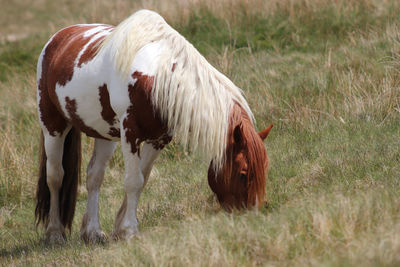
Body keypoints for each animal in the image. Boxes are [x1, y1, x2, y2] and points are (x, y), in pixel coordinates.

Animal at [34, 9, 274, 245]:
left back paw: (92, 232)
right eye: (243, 172)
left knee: (94, 176)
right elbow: (132, 181)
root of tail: (57, 39)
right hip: (52, 125)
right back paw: (54, 233)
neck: (156, 77)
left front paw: (120, 227)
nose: (252, 216)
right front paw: (130, 230)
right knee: (55, 176)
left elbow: (142, 178)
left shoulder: (159, 139)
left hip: (105, 134)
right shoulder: (130, 134)